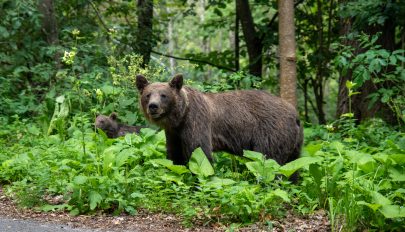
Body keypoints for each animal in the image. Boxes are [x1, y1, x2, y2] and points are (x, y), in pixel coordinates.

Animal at [136, 74, 304, 167]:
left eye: (164, 95)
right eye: (148, 95)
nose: (153, 106)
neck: (180, 117)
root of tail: (295, 115)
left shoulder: (196, 122)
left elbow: (199, 152)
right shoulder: (174, 133)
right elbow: (174, 156)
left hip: (271, 132)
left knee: (270, 161)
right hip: (294, 143)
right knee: (292, 166)